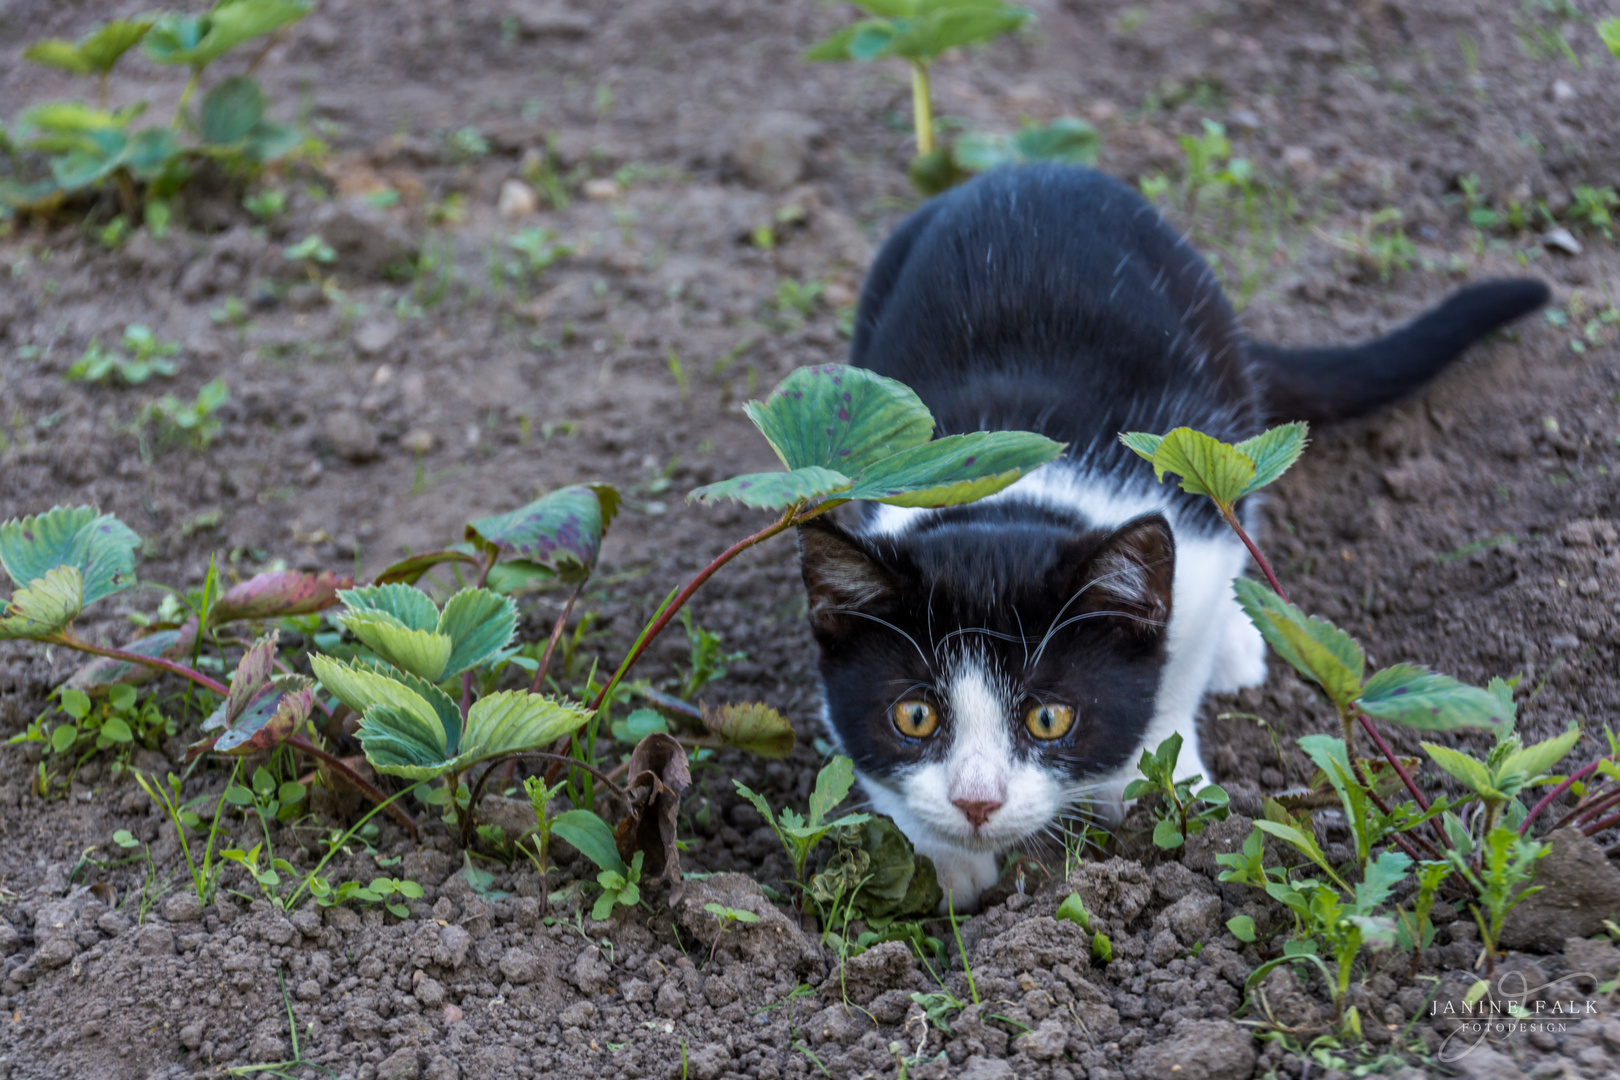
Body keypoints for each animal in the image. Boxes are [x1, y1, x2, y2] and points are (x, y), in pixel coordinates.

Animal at [803, 165, 1548, 906]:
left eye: (1050, 719)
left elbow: (1179, 666)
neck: (1016, 491)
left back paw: (1238, 647)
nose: (977, 803)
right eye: (914, 718)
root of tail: (1028, 168)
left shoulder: (1196, 525)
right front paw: (940, 857)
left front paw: (1159, 778)